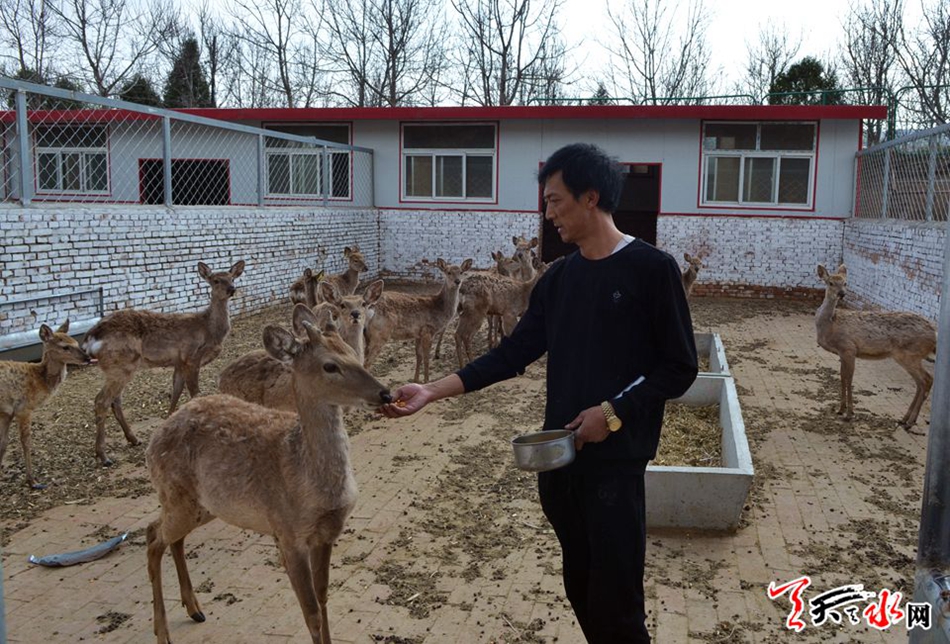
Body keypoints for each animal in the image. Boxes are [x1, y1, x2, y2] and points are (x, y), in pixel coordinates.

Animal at [0, 320, 91, 488]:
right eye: (65, 347)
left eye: (76, 342)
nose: (87, 358)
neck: (39, 380)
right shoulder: (24, 408)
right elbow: (26, 441)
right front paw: (32, 481)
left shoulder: (7, 412)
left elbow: (3, 443)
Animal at [82, 260, 245, 466]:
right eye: (216, 280)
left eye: (232, 278)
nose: (232, 289)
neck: (209, 332)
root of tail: (90, 338)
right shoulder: (192, 356)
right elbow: (195, 393)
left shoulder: (179, 362)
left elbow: (176, 391)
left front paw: (169, 421)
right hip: (120, 363)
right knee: (101, 400)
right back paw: (104, 456)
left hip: (119, 367)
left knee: (115, 400)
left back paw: (133, 439)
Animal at [146, 305, 391, 644]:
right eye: (330, 365)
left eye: (354, 352)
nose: (386, 393)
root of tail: (153, 440)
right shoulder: (287, 532)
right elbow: (311, 612)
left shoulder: (326, 533)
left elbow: (324, 597)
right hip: (175, 494)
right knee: (152, 537)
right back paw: (163, 633)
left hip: (205, 505)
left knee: (171, 538)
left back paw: (195, 608)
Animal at [815, 264, 937, 432]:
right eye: (830, 283)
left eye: (845, 283)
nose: (842, 294)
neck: (830, 326)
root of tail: (935, 334)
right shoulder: (842, 353)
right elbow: (842, 377)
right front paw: (840, 409)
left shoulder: (849, 348)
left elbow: (849, 378)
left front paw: (849, 413)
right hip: (911, 356)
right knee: (921, 382)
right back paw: (904, 419)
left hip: (909, 354)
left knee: (926, 379)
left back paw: (910, 422)